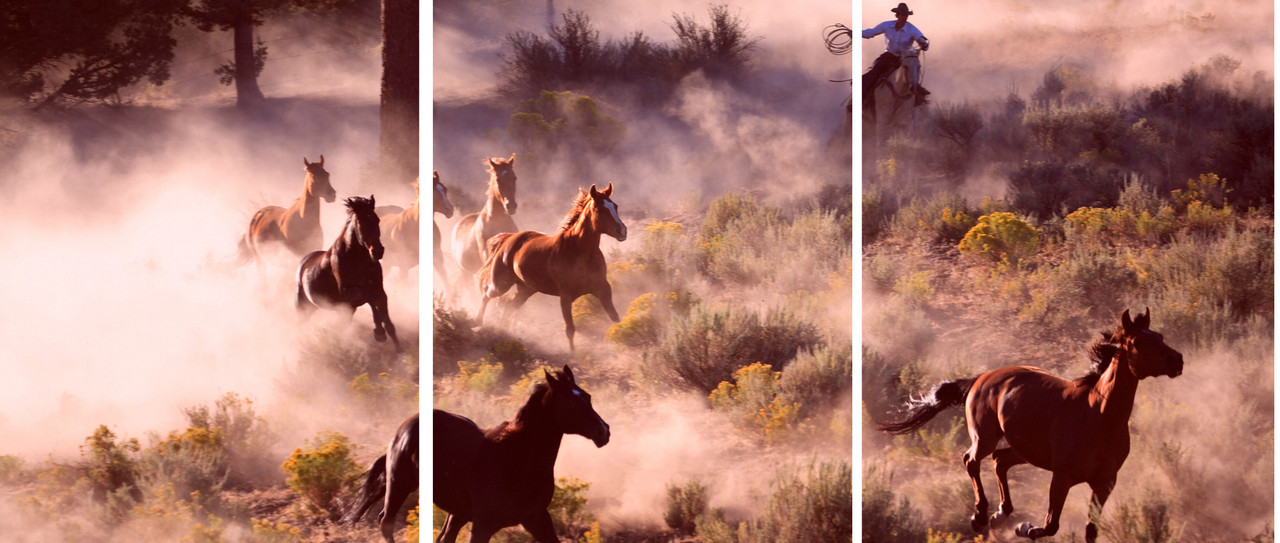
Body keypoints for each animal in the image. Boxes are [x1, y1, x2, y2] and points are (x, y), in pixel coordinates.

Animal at [295, 195, 399, 350]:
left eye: (377, 219)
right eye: (360, 222)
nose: (378, 251)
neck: (357, 259)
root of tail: (302, 264)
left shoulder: (379, 291)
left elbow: (389, 324)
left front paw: (400, 351)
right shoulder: (349, 294)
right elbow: (370, 299)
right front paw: (379, 333)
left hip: (345, 311)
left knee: (337, 329)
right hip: (304, 308)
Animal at [435, 363, 609, 543]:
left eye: (588, 397)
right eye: (570, 403)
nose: (603, 431)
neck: (519, 457)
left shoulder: (536, 517)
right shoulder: (483, 524)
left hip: (457, 513)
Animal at [476, 183, 624, 350]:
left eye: (615, 206)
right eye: (599, 209)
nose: (622, 231)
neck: (579, 251)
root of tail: (508, 238)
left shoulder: (603, 289)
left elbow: (615, 318)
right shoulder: (565, 296)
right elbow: (570, 329)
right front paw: (572, 353)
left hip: (525, 290)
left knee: (507, 307)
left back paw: (503, 333)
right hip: (501, 284)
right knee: (487, 295)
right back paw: (478, 322)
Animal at [875, 309, 1182, 543]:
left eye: (1160, 336)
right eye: (1138, 342)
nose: (1176, 360)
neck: (1100, 415)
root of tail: (981, 377)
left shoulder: (1105, 482)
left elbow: (1090, 531)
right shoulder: (1062, 477)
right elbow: (1050, 525)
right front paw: (1025, 528)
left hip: (1024, 449)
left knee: (999, 460)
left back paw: (1000, 515)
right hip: (985, 436)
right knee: (972, 460)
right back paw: (980, 516)